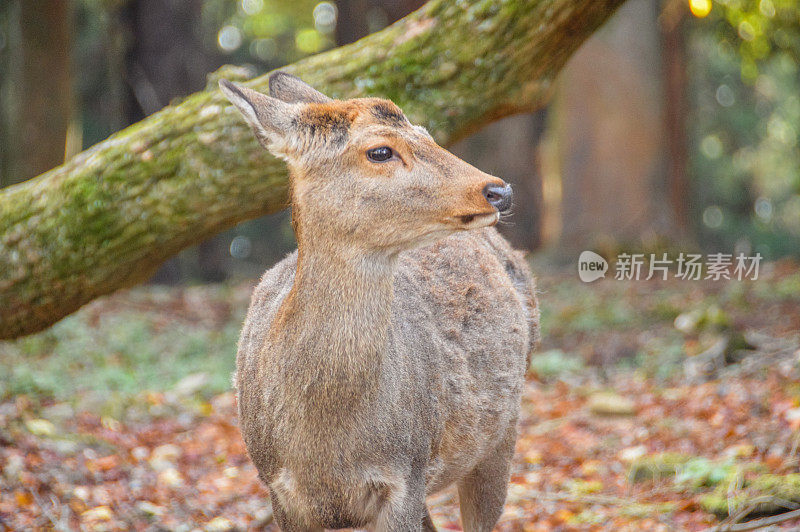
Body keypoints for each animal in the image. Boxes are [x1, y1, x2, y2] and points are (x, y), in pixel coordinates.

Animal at [220, 71, 536, 532]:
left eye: (426, 133)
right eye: (380, 151)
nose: (500, 190)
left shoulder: (406, 472)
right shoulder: (275, 485)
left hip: (502, 432)